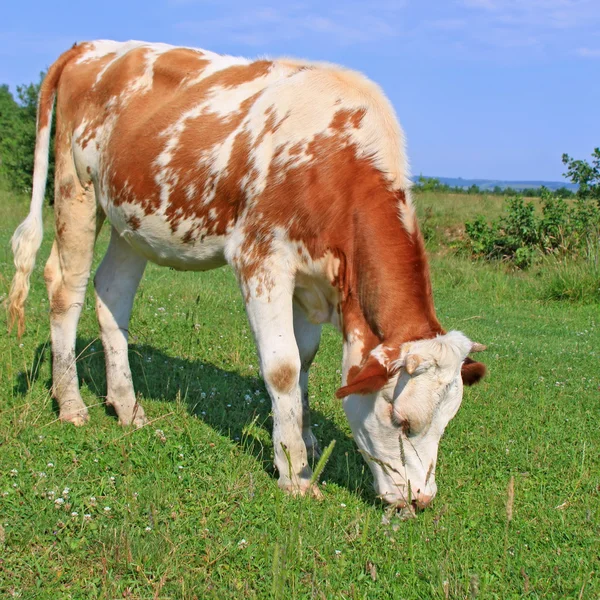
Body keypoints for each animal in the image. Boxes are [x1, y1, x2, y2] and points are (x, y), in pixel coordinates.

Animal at [9, 38, 486, 506]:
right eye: (401, 419)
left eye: (446, 423)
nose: (421, 500)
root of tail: (89, 46)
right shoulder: (261, 257)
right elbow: (283, 367)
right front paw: (295, 472)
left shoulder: (312, 280)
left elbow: (305, 359)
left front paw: (306, 439)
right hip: (76, 188)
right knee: (65, 288)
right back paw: (71, 404)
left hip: (131, 219)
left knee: (111, 296)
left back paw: (127, 406)